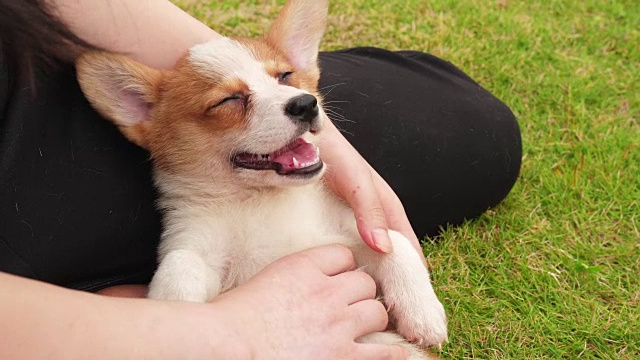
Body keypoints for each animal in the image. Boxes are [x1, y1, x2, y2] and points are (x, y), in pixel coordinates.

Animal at [77, 0, 448, 356]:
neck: (261, 200)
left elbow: (394, 243)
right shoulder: (196, 245)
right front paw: (176, 313)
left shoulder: (350, 235)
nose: (305, 104)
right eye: (229, 99)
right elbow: (180, 264)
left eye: (285, 76)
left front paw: (423, 313)